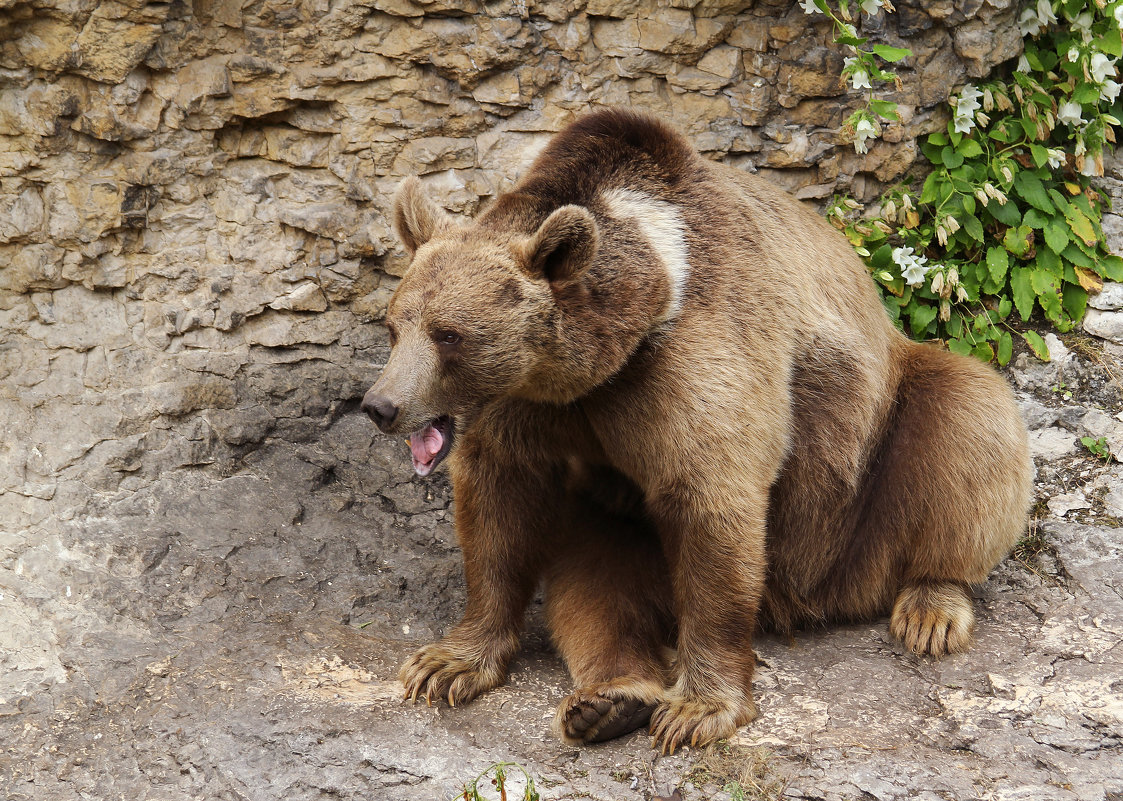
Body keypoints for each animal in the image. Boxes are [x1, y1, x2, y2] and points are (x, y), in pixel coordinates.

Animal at [359, 109, 1033, 754]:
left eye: (449, 335)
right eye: (395, 326)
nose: (380, 405)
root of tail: (807, 600)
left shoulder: (692, 362)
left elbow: (713, 504)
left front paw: (698, 709)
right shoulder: (527, 409)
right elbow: (498, 511)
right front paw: (445, 664)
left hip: (864, 477)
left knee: (966, 415)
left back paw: (931, 605)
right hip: (625, 526)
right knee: (595, 582)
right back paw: (611, 700)